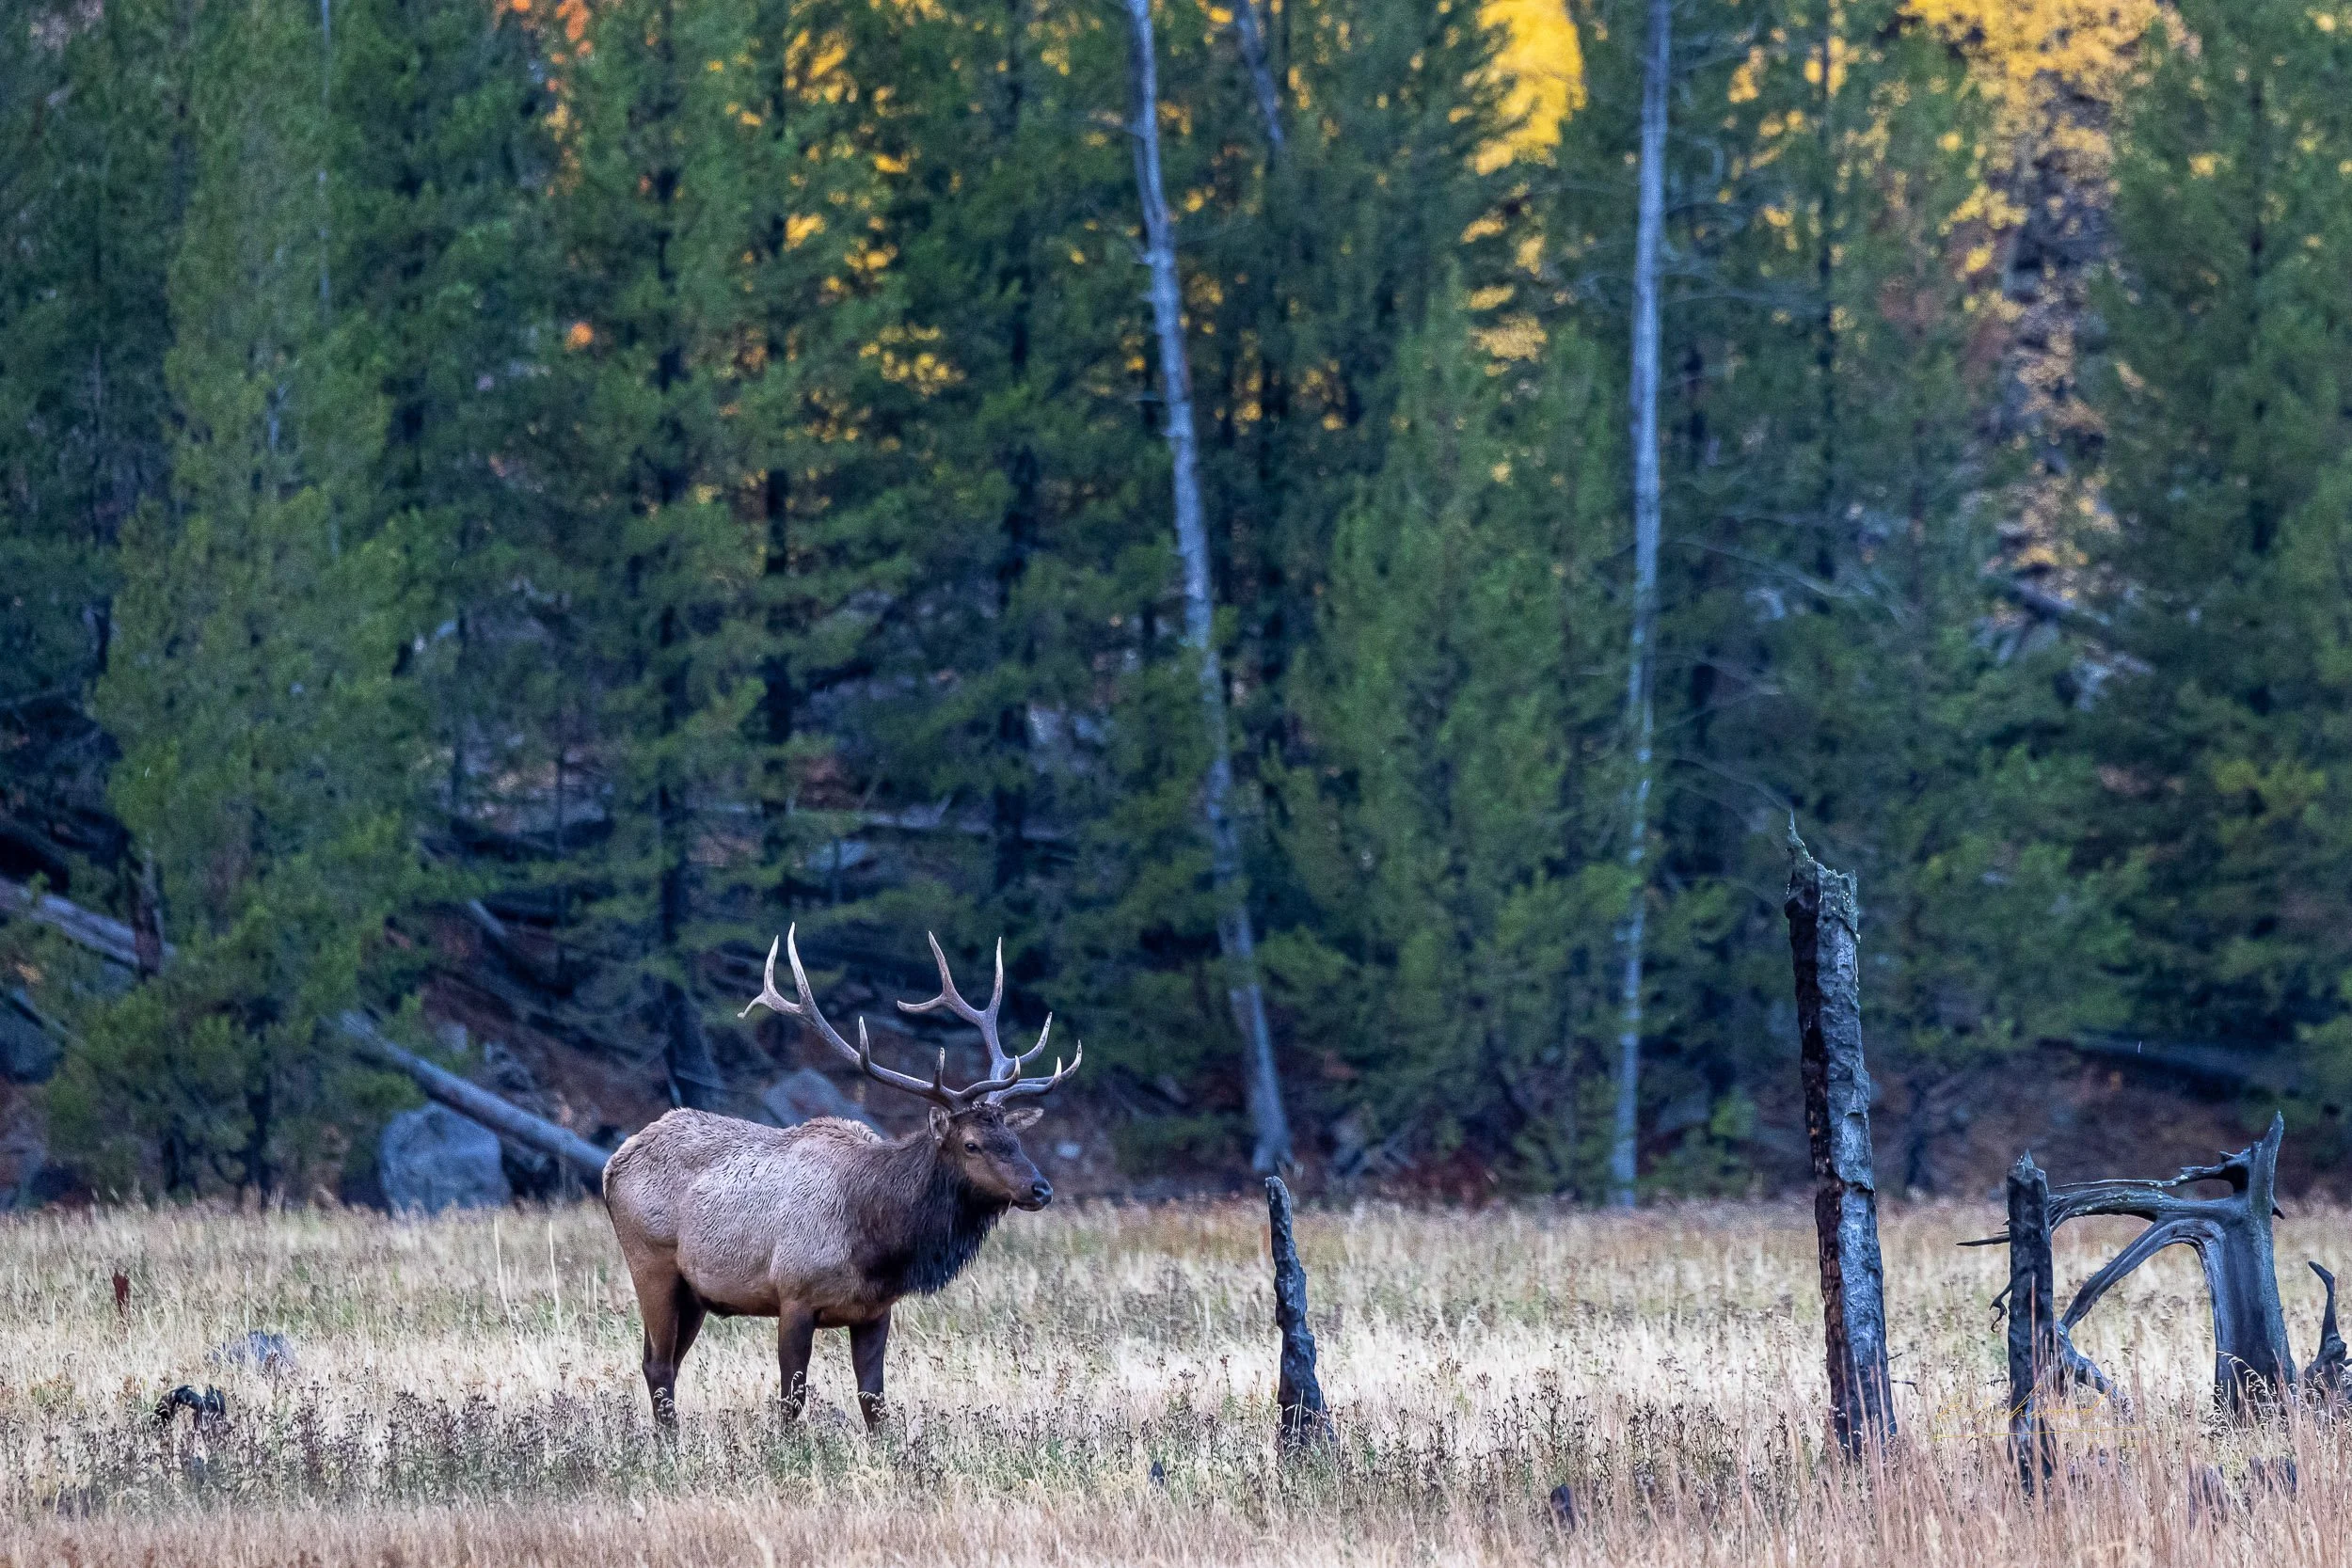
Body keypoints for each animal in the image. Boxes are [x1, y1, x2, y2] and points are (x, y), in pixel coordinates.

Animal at [602, 926, 1080, 1430]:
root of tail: (612, 1164)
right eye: (972, 1144)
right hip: (652, 1262)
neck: (876, 1242)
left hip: (695, 1293)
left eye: (1014, 1137)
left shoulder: (875, 1310)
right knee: (657, 1363)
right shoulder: (793, 1294)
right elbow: (792, 1400)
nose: (1041, 1188)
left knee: (665, 1362)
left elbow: (874, 1402)